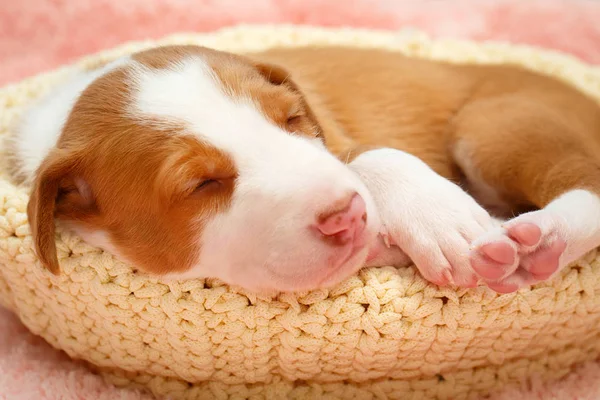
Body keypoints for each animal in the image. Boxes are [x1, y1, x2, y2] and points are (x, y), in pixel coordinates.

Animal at [8, 44, 600, 294]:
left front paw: (440, 219)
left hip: (496, 123)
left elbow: (370, 154)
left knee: (587, 182)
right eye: (200, 184)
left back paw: (541, 237)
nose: (349, 216)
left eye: (293, 119)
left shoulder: (339, 137)